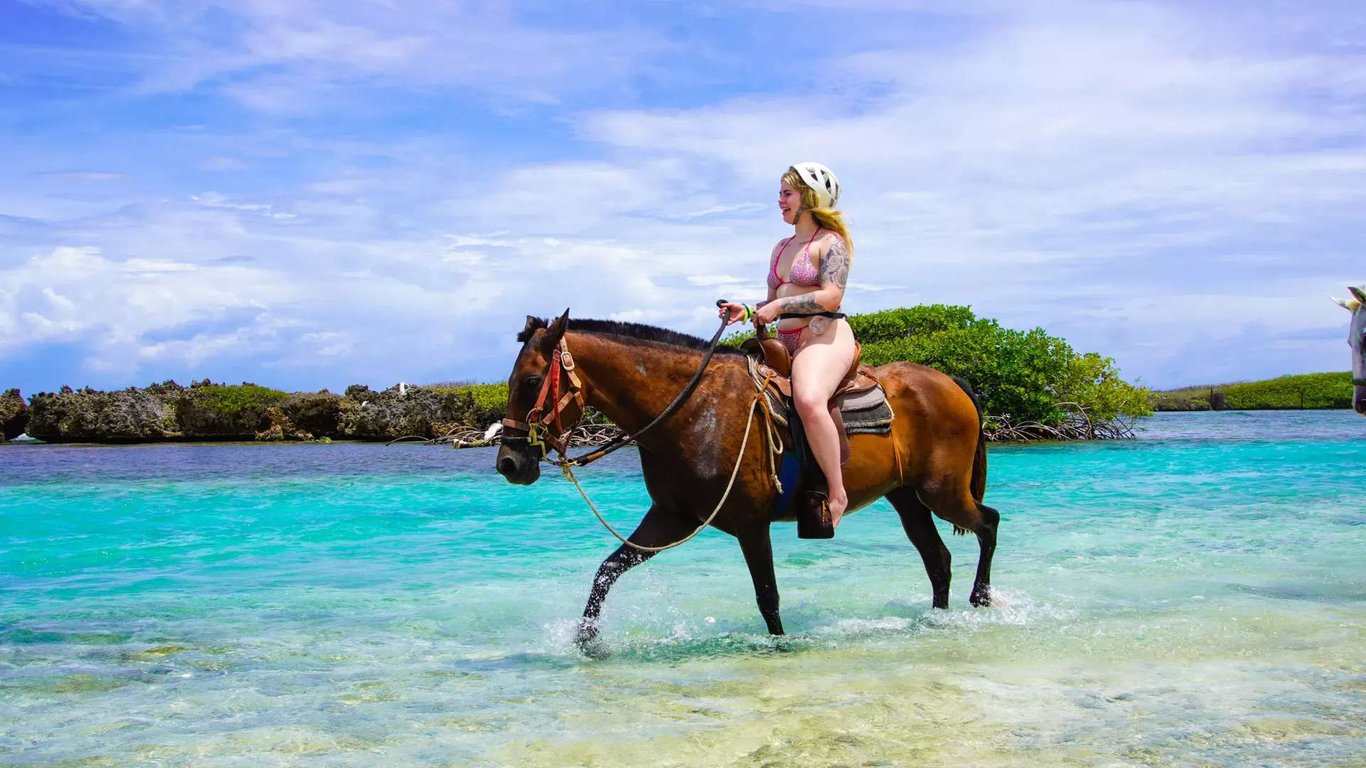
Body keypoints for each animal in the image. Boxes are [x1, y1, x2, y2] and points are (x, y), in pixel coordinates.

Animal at [497, 307, 999, 647]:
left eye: (530, 382)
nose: (508, 463)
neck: (693, 409)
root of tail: (952, 382)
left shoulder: (750, 523)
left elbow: (768, 597)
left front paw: (781, 646)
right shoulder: (671, 517)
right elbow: (607, 570)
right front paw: (586, 639)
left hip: (942, 491)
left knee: (988, 523)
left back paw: (980, 598)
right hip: (907, 497)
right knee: (938, 559)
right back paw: (939, 620)